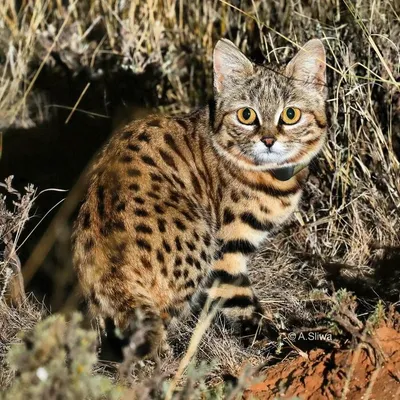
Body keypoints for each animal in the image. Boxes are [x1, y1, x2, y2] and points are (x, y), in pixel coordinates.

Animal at [72, 36, 328, 356]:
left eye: (290, 115)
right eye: (246, 115)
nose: (268, 140)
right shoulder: (227, 250)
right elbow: (243, 304)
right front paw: (278, 344)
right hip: (199, 246)